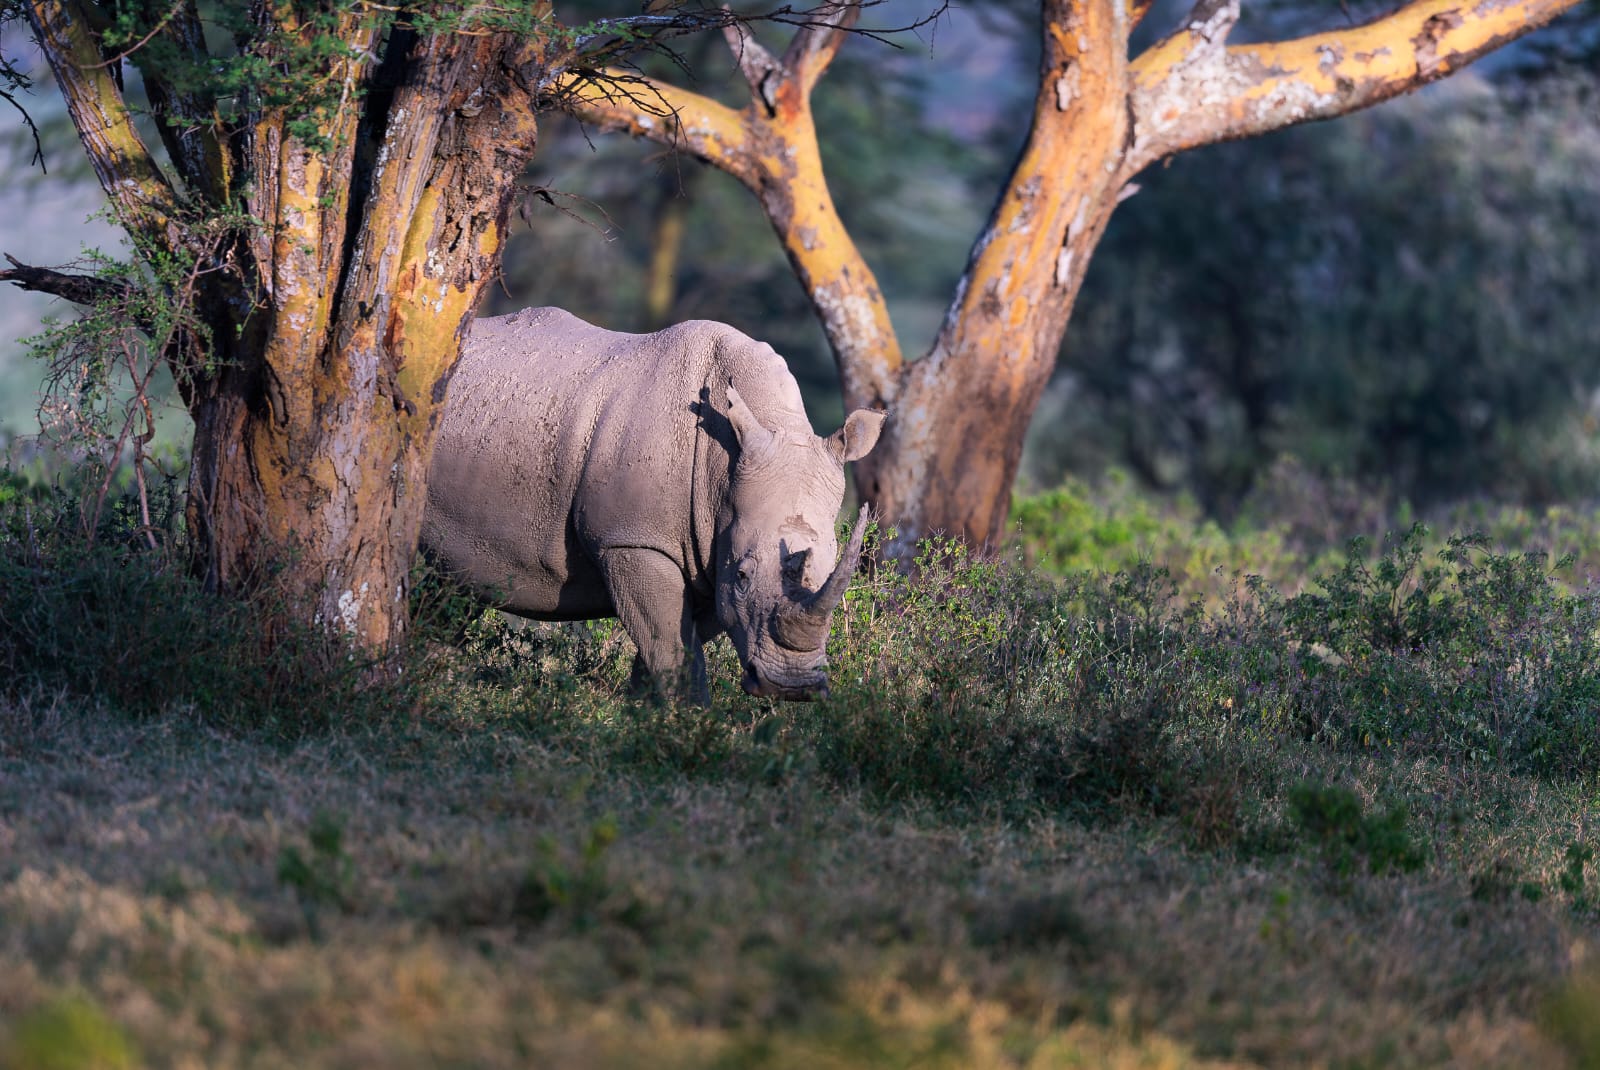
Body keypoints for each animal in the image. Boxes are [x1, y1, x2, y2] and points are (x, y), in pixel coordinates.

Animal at [422, 306, 886, 702]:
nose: (792, 687)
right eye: (743, 575)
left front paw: (648, 717)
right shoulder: (633, 540)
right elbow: (668, 642)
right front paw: (685, 719)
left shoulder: (710, 554)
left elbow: (679, 641)